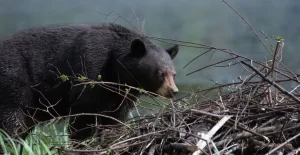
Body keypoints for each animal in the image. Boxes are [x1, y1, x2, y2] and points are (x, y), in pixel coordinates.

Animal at [0, 23, 179, 142]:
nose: (173, 91)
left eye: (174, 74)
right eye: (160, 74)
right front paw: (81, 142)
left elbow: (115, 118)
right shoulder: (92, 67)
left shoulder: (119, 95)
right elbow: (83, 112)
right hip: (14, 79)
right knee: (11, 121)